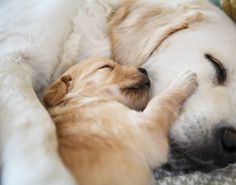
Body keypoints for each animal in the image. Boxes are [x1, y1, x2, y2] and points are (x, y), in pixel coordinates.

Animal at [42, 57, 197, 185]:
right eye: (106, 67)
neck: (79, 100)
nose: (144, 70)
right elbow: (162, 99)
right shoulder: (146, 129)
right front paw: (184, 80)